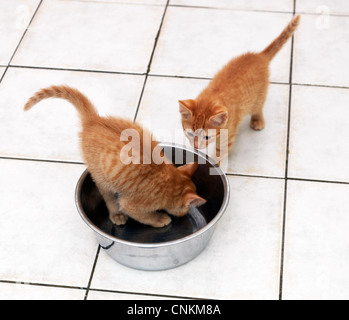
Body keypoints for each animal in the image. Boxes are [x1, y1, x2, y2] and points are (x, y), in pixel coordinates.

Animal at [25, 85, 205, 228]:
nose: (185, 214)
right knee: (109, 198)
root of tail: (93, 120)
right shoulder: (131, 204)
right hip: (102, 178)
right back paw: (116, 215)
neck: (170, 181)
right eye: (188, 207)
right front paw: (158, 219)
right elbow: (141, 215)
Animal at [179, 14, 300, 162]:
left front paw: (216, 163)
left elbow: (221, 152)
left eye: (206, 137)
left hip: (258, 97)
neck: (212, 97)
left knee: (258, 108)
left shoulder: (228, 133)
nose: (196, 146)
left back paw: (257, 121)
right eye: (190, 134)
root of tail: (259, 56)